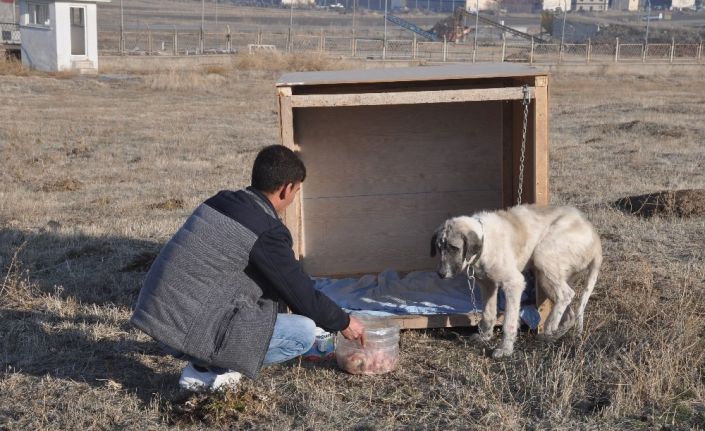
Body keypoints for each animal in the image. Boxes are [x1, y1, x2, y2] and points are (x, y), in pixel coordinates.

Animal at [428, 204, 600, 360]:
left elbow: (509, 322)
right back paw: (553, 335)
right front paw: (485, 337)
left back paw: (550, 325)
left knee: (566, 294)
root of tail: (594, 236)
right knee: (569, 312)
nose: (441, 274)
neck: (485, 243)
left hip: (543, 256)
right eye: (438, 248)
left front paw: (505, 349)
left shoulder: (514, 283)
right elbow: (488, 314)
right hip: (546, 279)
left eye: (454, 248)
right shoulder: (488, 285)